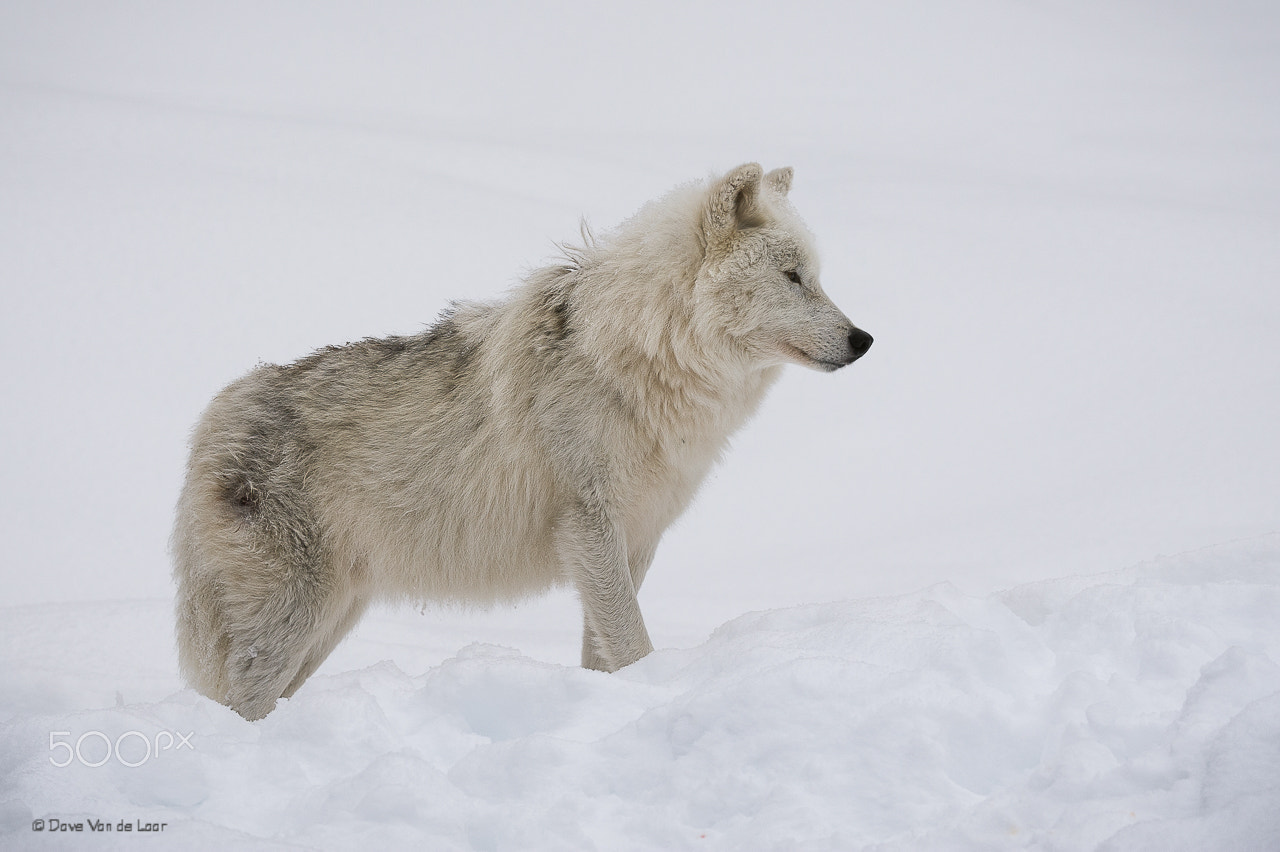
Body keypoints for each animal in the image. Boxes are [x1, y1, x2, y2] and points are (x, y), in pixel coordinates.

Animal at [172, 163, 872, 720]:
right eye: (792, 276)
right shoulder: (589, 525)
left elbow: (604, 649)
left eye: (816, 276)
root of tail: (213, 418)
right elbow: (632, 640)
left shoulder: (635, 537)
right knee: (238, 703)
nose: (863, 339)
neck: (638, 359)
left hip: (330, 623)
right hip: (293, 621)